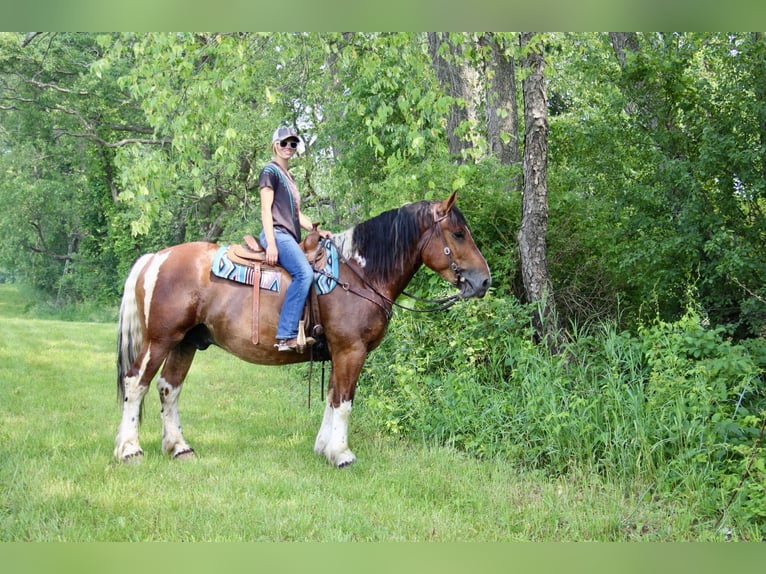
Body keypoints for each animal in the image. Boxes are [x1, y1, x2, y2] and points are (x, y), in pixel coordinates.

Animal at [115, 191, 492, 470]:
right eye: (458, 234)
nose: (484, 280)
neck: (360, 273)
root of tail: (156, 258)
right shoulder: (350, 350)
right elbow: (344, 402)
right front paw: (342, 454)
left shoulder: (336, 352)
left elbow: (332, 398)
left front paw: (324, 448)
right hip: (160, 340)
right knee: (136, 384)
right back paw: (129, 449)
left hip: (186, 342)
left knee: (168, 388)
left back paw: (179, 447)